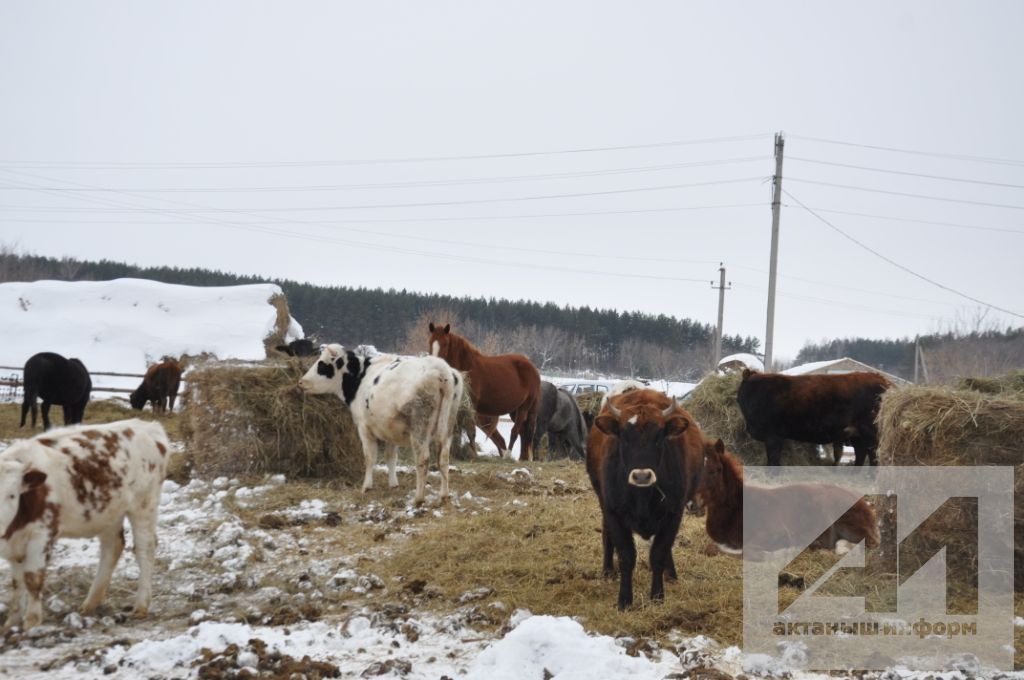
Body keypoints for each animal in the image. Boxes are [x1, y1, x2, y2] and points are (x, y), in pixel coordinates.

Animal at [0, 417, 169, 630]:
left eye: (12, 495)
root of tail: (147, 426)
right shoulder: (14, 543)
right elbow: (16, 583)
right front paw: (10, 624)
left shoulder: (42, 535)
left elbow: (32, 579)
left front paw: (32, 622)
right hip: (109, 511)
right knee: (112, 547)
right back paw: (90, 603)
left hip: (144, 504)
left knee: (145, 549)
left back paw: (141, 605)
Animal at [299, 346, 464, 503]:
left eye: (322, 364)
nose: (301, 381)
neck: (361, 378)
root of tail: (441, 368)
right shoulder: (391, 431)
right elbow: (391, 457)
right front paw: (393, 484)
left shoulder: (364, 428)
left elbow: (370, 458)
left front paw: (366, 486)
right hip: (448, 425)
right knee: (443, 458)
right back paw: (444, 495)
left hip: (419, 427)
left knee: (423, 459)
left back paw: (418, 498)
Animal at [430, 321, 544, 458]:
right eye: (430, 342)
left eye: (445, 343)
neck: (467, 366)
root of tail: (532, 367)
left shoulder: (472, 406)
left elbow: (471, 431)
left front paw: (474, 454)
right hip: (515, 410)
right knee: (523, 432)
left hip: (525, 408)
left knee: (517, 431)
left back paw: (508, 455)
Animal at [696, 438, 880, 561]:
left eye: (717, 469)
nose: (695, 504)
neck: (737, 511)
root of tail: (865, 506)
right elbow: (711, 548)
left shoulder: (774, 532)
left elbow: (749, 551)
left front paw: (785, 552)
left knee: (869, 542)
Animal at [737, 368, 888, 464]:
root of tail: (881, 379)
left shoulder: (773, 435)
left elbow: (773, 460)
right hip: (857, 434)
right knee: (861, 453)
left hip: (871, 431)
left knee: (874, 455)